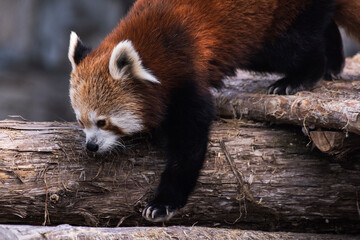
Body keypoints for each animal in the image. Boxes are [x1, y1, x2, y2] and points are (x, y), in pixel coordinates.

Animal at [68, 0, 360, 221]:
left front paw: (163, 203)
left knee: (292, 46)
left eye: (102, 122)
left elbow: (189, 141)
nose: (91, 146)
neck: (157, 53)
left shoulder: (186, 73)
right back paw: (333, 64)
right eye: (81, 122)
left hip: (273, 25)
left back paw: (303, 75)